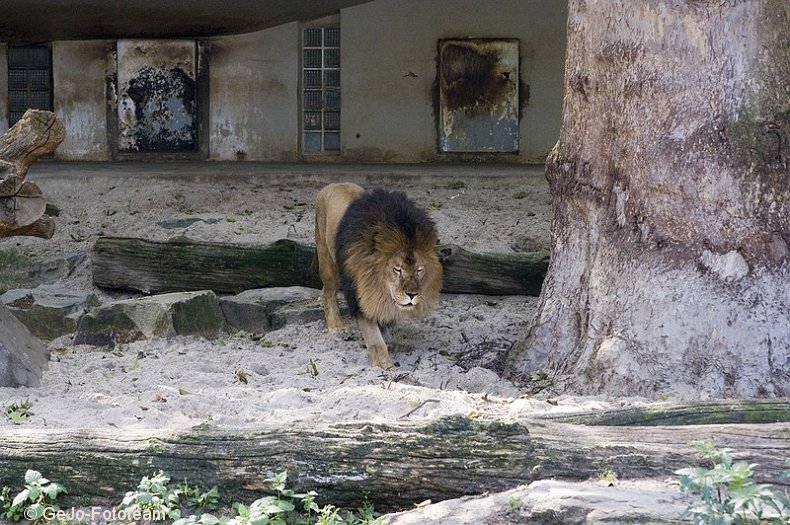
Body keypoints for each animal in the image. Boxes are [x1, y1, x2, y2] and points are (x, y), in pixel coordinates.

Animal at [316, 183, 442, 368]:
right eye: (397, 269)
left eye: (419, 270)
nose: (412, 295)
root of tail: (333, 185)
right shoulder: (359, 296)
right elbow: (374, 338)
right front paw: (385, 364)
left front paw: (388, 336)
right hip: (328, 262)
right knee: (328, 293)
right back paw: (336, 327)